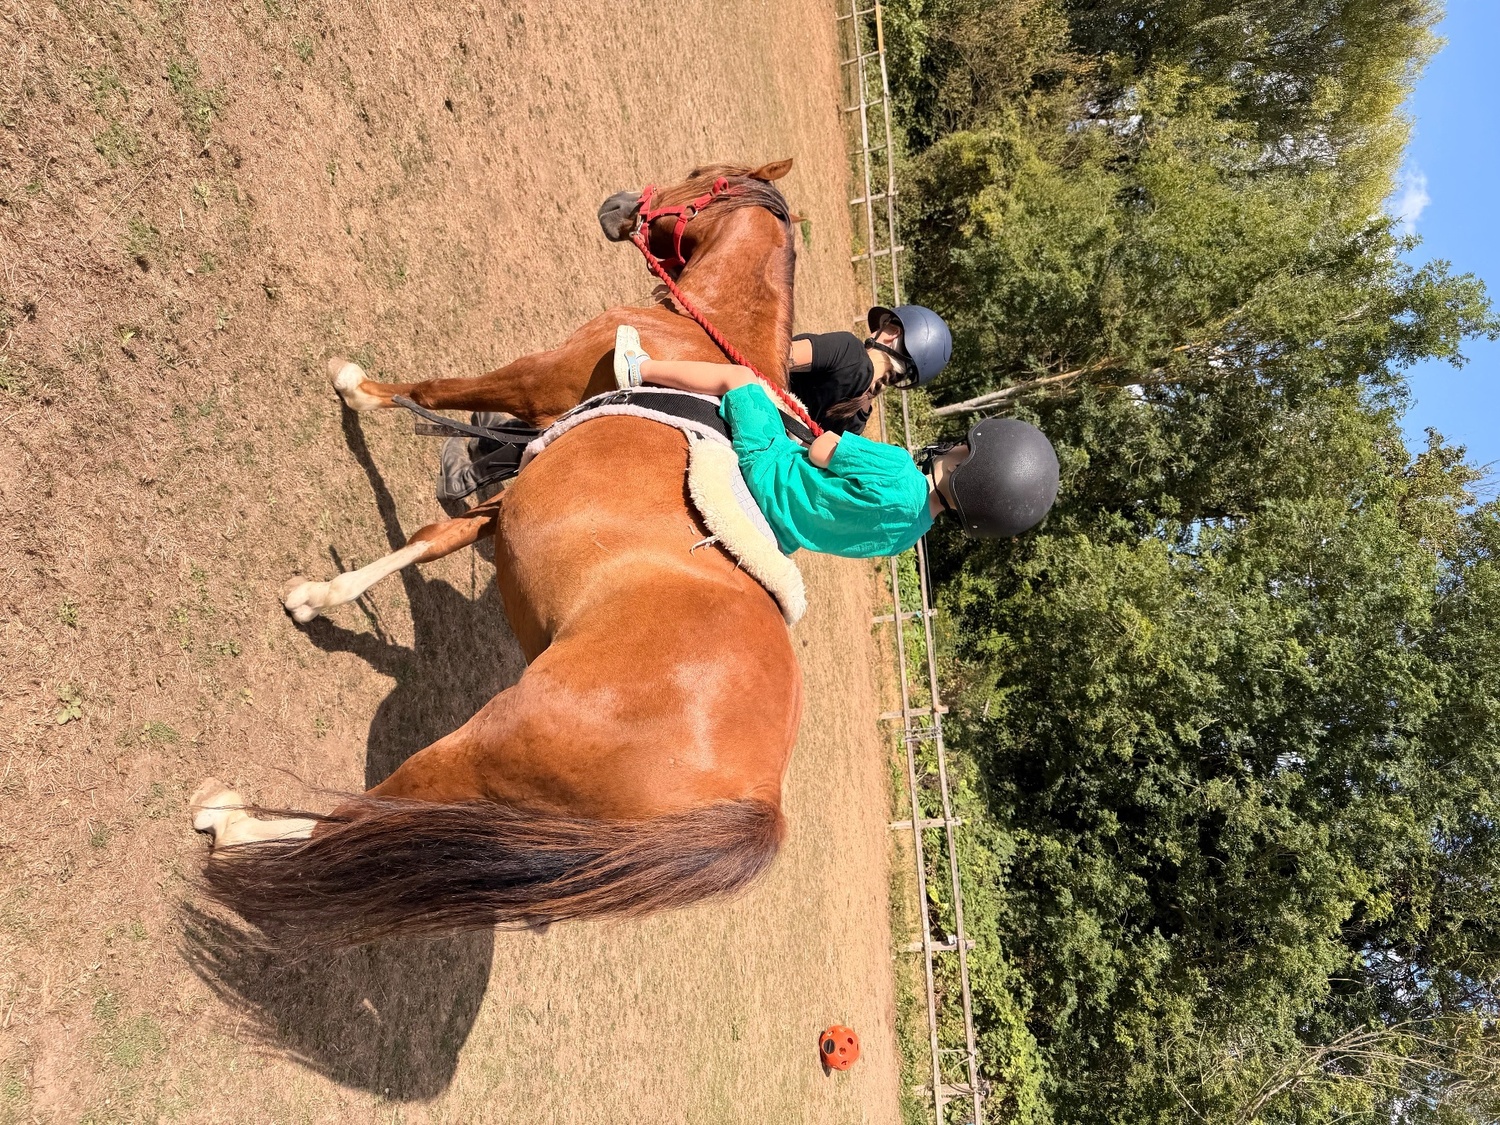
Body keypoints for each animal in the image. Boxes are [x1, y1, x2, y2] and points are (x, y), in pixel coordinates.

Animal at [190, 160, 806, 950]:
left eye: (698, 175)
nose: (617, 204)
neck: (701, 338)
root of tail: (754, 801)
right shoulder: (511, 504)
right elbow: (428, 541)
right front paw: (323, 597)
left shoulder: (530, 381)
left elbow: (435, 389)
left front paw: (357, 390)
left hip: (475, 759)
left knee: (355, 824)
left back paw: (233, 822)